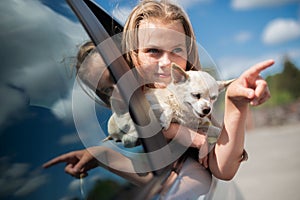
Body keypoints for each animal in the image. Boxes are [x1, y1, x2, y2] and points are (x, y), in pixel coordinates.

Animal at [104, 63, 233, 148]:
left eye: (213, 98)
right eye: (196, 95)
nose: (207, 109)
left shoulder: (198, 126)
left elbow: (214, 129)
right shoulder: (149, 101)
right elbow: (167, 107)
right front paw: (165, 121)